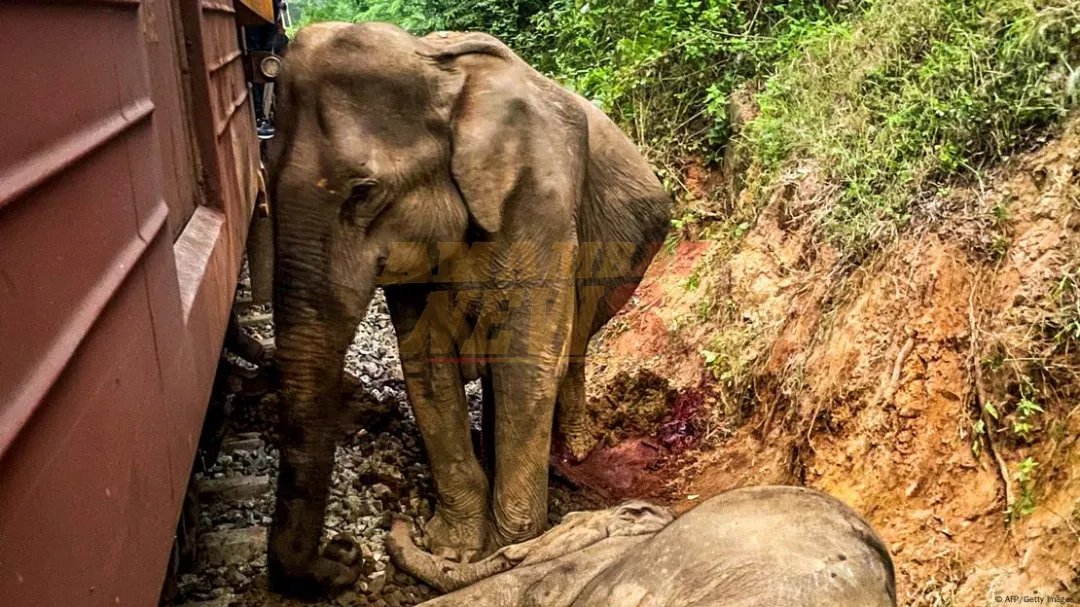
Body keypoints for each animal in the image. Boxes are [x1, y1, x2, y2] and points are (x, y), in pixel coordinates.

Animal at [265, 21, 671, 596]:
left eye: (364, 192)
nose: (344, 553)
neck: (440, 71)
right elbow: (426, 362)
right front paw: (454, 547)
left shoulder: (541, 202)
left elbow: (528, 358)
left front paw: (509, 546)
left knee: (571, 348)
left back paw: (571, 449)